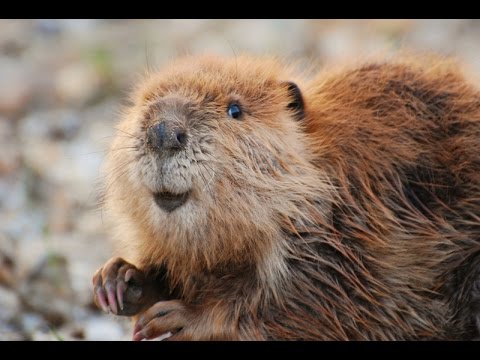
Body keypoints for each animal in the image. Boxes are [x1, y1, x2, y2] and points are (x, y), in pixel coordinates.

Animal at [91, 54, 480, 340]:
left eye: (235, 110)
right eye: (145, 101)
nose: (163, 131)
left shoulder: (353, 236)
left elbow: (310, 299)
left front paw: (179, 317)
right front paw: (118, 280)